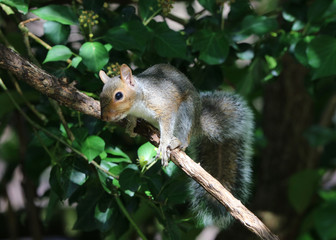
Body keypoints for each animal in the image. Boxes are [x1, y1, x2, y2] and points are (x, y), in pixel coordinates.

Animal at [98, 63, 253, 229]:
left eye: (118, 95)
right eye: (100, 95)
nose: (104, 117)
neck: (139, 100)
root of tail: (198, 123)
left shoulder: (165, 107)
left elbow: (166, 126)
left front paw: (164, 144)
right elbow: (133, 118)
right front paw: (131, 125)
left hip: (186, 113)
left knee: (184, 139)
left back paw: (177, 142)